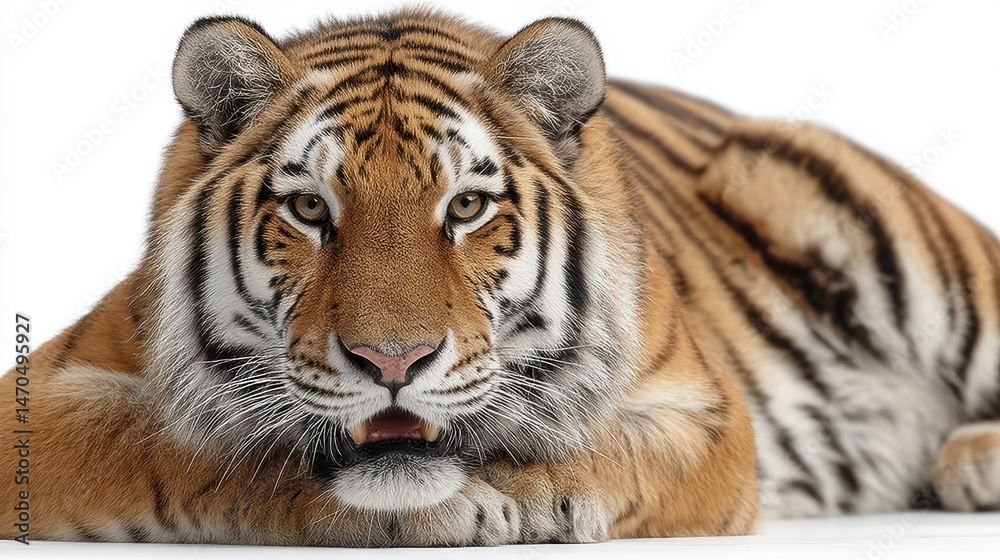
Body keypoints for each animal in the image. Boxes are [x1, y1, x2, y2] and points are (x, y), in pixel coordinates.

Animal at [3, 9, 999, 547]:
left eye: (468, 209)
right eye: (312, 210)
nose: (392, 363)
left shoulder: (705, 415)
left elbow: (606, 454)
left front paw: (502, 496)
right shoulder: (43, 399)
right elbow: (195, 452)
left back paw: (972, 461)